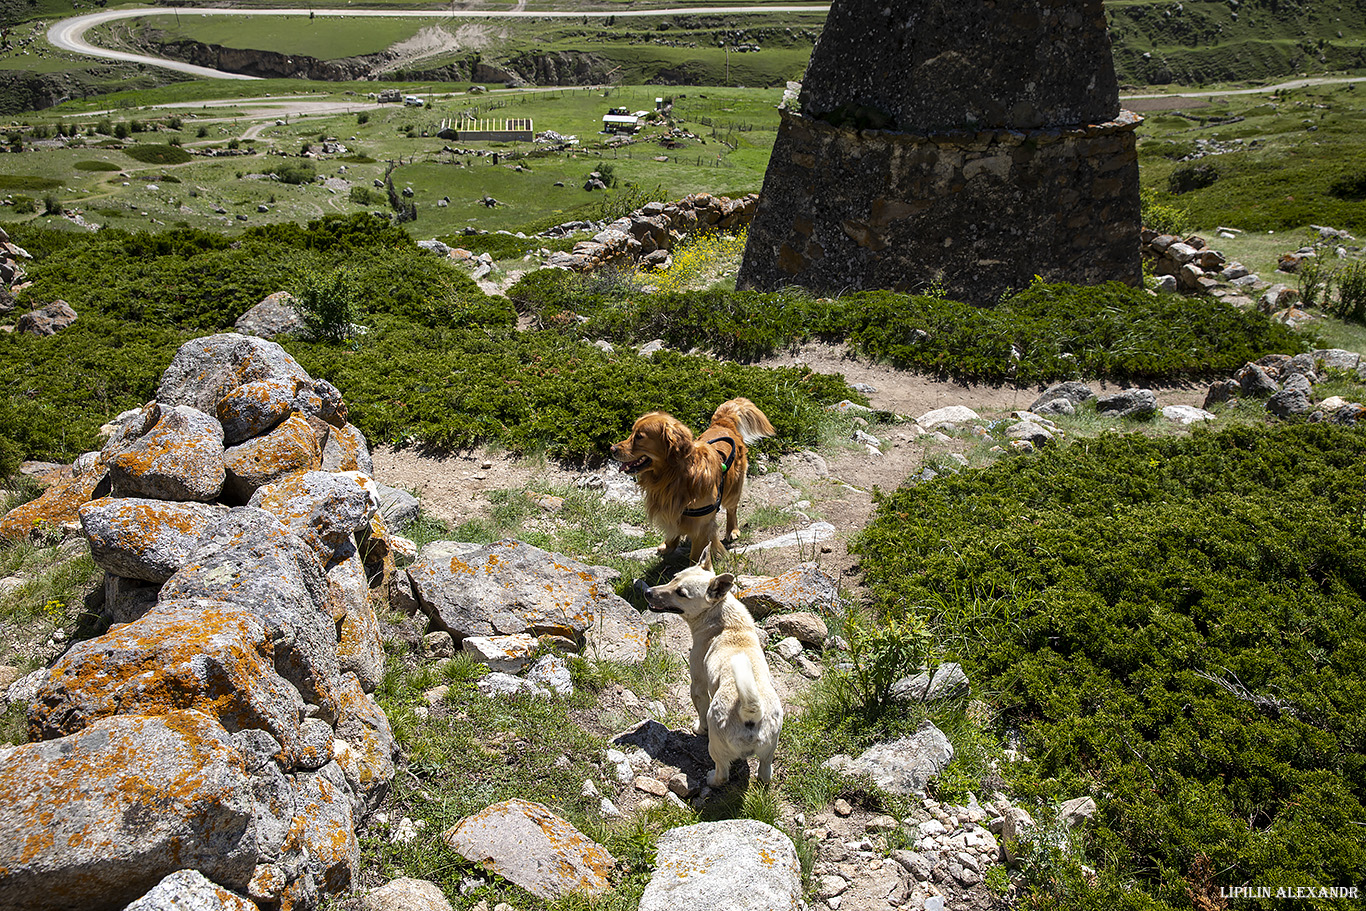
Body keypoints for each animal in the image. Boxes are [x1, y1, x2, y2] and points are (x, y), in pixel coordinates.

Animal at [611, 396, 775, 562]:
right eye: (632, 432)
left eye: (639, 436)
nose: (612, 449)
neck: (673, 477)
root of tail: (723, 423)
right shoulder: (672, 510)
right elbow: (674, 530)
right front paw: (668, 545)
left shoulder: (702, 527)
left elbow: (696, 555)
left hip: (733, 488)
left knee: (732, 509)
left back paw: (732, 530)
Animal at [647, 551, 786, 786]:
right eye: (673, 578)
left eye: (681, 593)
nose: (647, 592)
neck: (725, 621)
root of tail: (751, 711)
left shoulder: (697, 685)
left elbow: (700, 712)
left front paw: (698, 729)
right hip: (770, 749)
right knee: (765, 772)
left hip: (716, 746)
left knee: (722, 773)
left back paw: (711, 779)